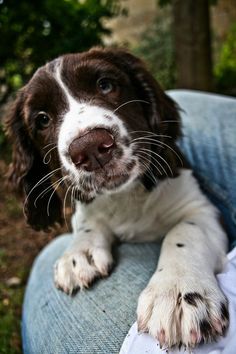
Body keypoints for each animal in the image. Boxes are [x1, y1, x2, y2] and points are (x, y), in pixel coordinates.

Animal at [5, 47, 230, 348]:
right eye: (42, 119)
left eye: (105, 85)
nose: (90, 148)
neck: (125, 196)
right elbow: (88, 223)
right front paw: (78, 254)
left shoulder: (200, 206)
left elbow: (185, 231)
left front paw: (178, 291)